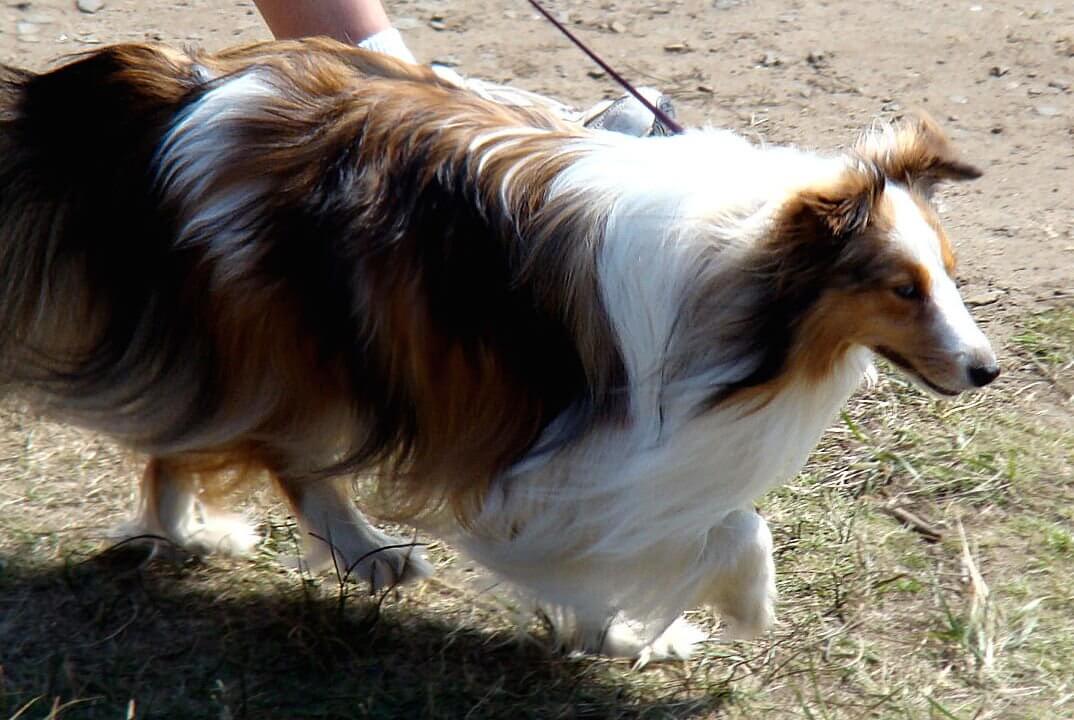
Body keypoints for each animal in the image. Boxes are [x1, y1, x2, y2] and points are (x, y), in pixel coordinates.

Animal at [0, 38, 996, 661]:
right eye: (902, 289)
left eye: (950, 275)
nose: (986, 369)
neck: (740, 267)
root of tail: (195, 88)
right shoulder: (575, 457)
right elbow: (727, 529)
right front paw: (717, 614)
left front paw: (614, 635)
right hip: (303, 344)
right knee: (280, 451)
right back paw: (361, 552)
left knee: (185, 438)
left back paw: (190, 533)